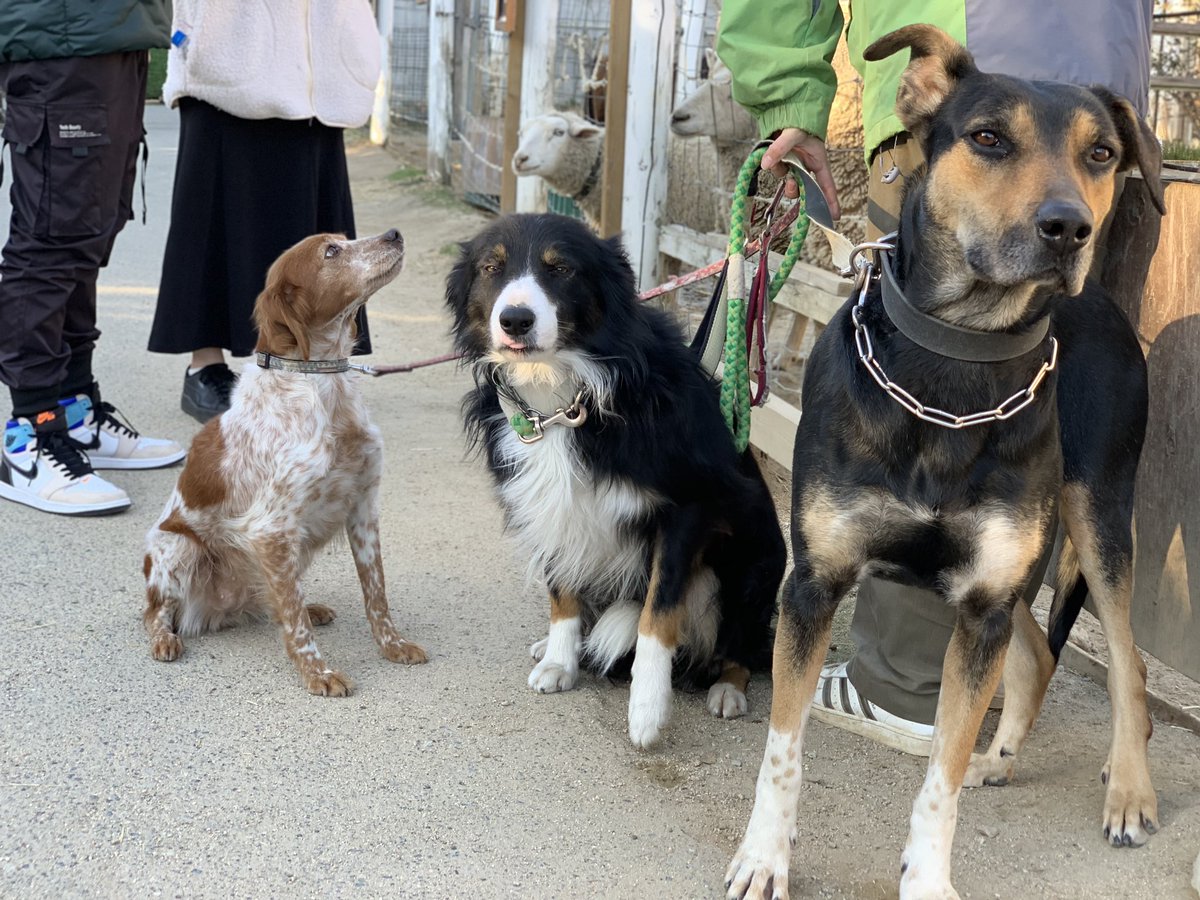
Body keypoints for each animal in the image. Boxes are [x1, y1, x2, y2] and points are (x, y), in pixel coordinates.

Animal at [144, 229, 427, 696]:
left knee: (275, 598)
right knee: (157, 612)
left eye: (345, 238)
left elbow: (376, 593)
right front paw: (319, 673)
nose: (394, 233)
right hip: (177, 549)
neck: (322, 382)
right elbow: (294, 624)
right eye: (331, 251)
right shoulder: (270, 530)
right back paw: (164, 639)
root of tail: (218, 613)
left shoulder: (363, 507)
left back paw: (312, 607)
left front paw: (394, 645)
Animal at [724, 22, 1166, 900]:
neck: (958, 365)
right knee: (1038, 657)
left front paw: (927, 877)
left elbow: (940, 777)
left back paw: (1128, 792)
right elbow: (783, 752)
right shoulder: (816, 584)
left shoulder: (984, 603)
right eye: (988, 138)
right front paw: (763, 858)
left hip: (1097, 516)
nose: (1069, 229)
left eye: (1101, 153)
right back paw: (1003, 757)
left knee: (1127, 666)